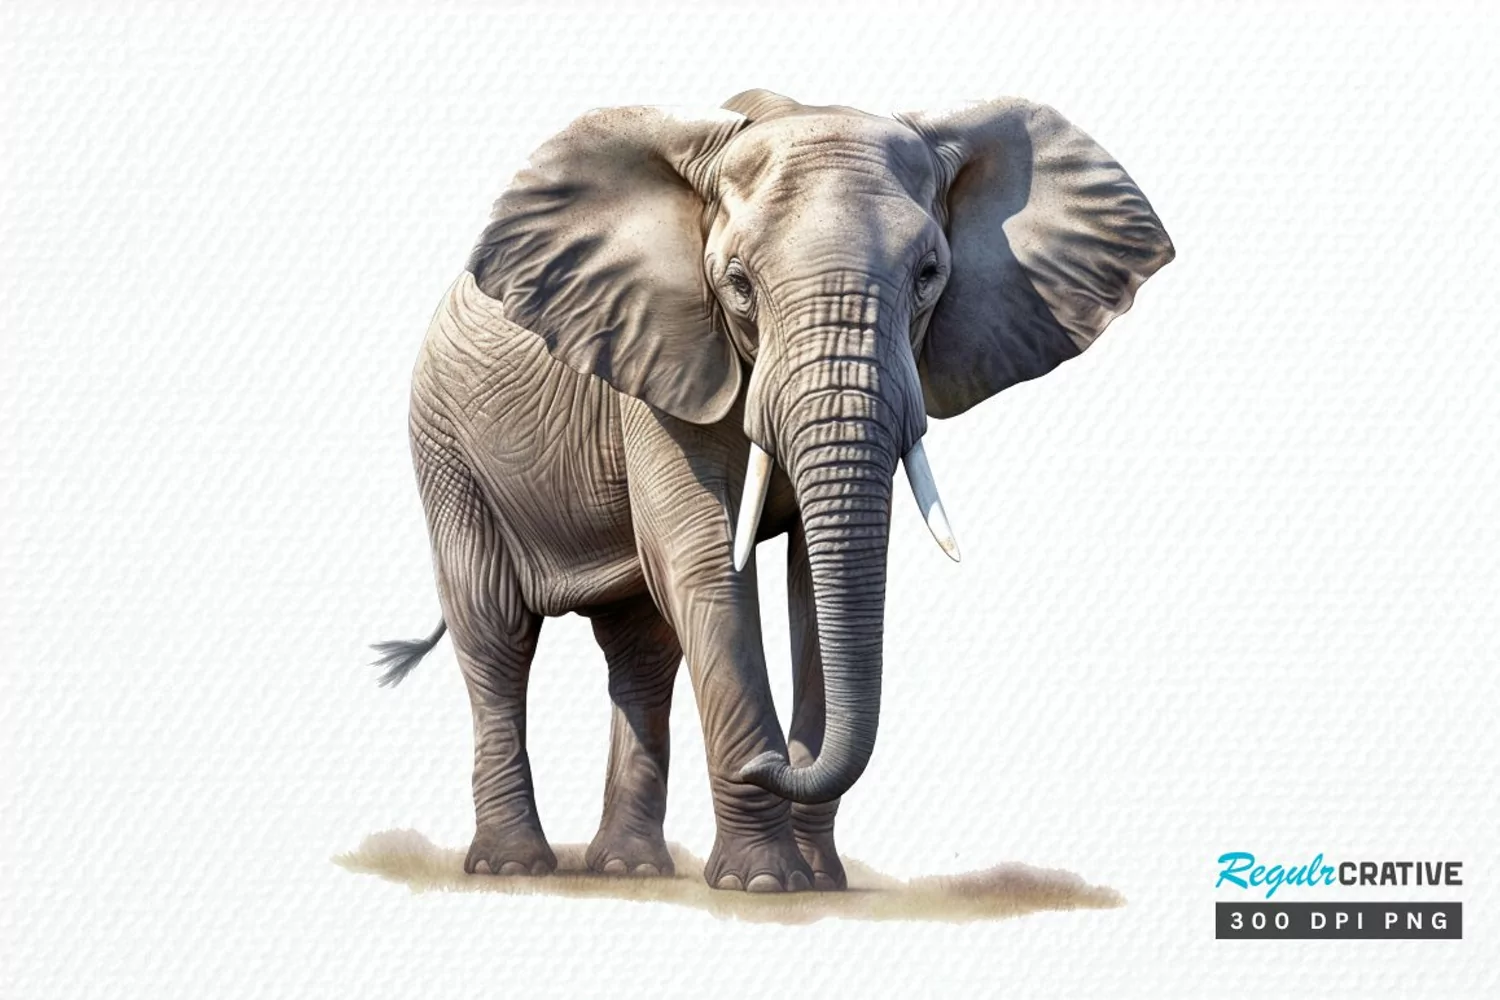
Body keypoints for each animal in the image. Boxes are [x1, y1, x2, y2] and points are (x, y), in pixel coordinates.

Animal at [373, 89, 1173, 893]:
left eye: (928, 275)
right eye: (737, 283)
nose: (767, 762)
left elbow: (812, 589)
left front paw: (818, 878)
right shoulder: (660, 364)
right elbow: (703, 565)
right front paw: (762, 881)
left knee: (641, 650)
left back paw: (631, 868)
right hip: (444, 443)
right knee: (495, 631)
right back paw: (513, 865)